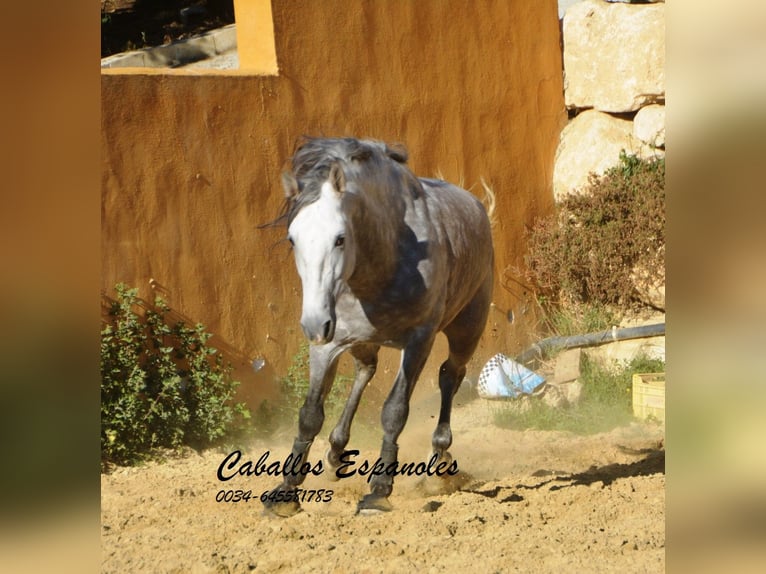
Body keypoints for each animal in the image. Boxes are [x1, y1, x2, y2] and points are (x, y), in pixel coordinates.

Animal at [268, 136, 496, 516]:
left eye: (340, 238)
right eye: (292, 239)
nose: (313, 323)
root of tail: (477, 206)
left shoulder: (418, 342)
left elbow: (394, 412)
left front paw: (379, 490)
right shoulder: (327, 344)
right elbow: (310, 414)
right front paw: (285, 491)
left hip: (468, 328)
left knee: (450, 375)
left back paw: (440, 456)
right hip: (362, 340)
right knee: (366, 371)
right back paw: (336, 452)